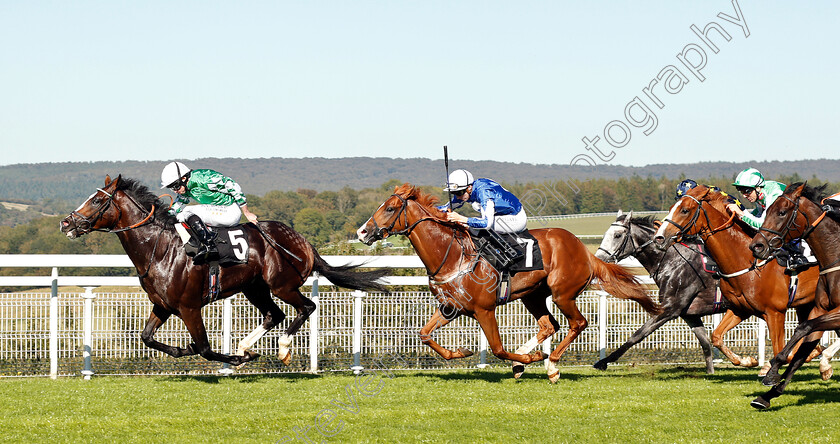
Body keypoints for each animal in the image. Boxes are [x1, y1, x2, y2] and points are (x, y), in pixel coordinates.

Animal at [59, 175, 388, 366]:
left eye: (97, 200)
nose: (66, 222)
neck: (161, 249)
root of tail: (303, 242)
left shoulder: (189, 307)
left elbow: (205, 348)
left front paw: (233, 358)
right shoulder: (163, 305)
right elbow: (147, 337)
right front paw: (185, 350)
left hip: (282, 285)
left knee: (306, 307)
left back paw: (279, 349)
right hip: (254, 287)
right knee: (275, 315)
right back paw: (246, 346)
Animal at [352, 183, 660, 382]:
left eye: (391, 208)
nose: (362, 232)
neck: (451, 255)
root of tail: (584, 250)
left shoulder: (484, 310)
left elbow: (498, 349)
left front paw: (533, 360)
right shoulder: (451, 308)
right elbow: (425, 334)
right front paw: (461, 351)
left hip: (563, 294)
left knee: (578, 323)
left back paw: (551, 365)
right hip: (532, 295)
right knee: (549, 325)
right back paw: (528, 362)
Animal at [592, 210, 728, 372]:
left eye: (617, 235)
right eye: (605, 234)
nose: (598, 259)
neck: (672, 260)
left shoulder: (670, 309)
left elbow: (638, 335)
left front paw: (603, 362)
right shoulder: (689, 314)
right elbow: (705, 343)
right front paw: (710, 372)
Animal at [652, 184, 824, 374]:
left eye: (684, 210)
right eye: (670, 208)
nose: (659, 238)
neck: (748, 263)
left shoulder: (775, 312)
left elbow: (781, 349)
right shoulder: (740, 309)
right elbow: (716, 336)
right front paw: (747, 360)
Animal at [748, 183, 840, 410]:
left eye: (782, 212)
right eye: (766, 212)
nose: (756, 246)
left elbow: (803, 327)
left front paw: (774, 365)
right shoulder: (819, 309)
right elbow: (800, 353)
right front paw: (768, 394)